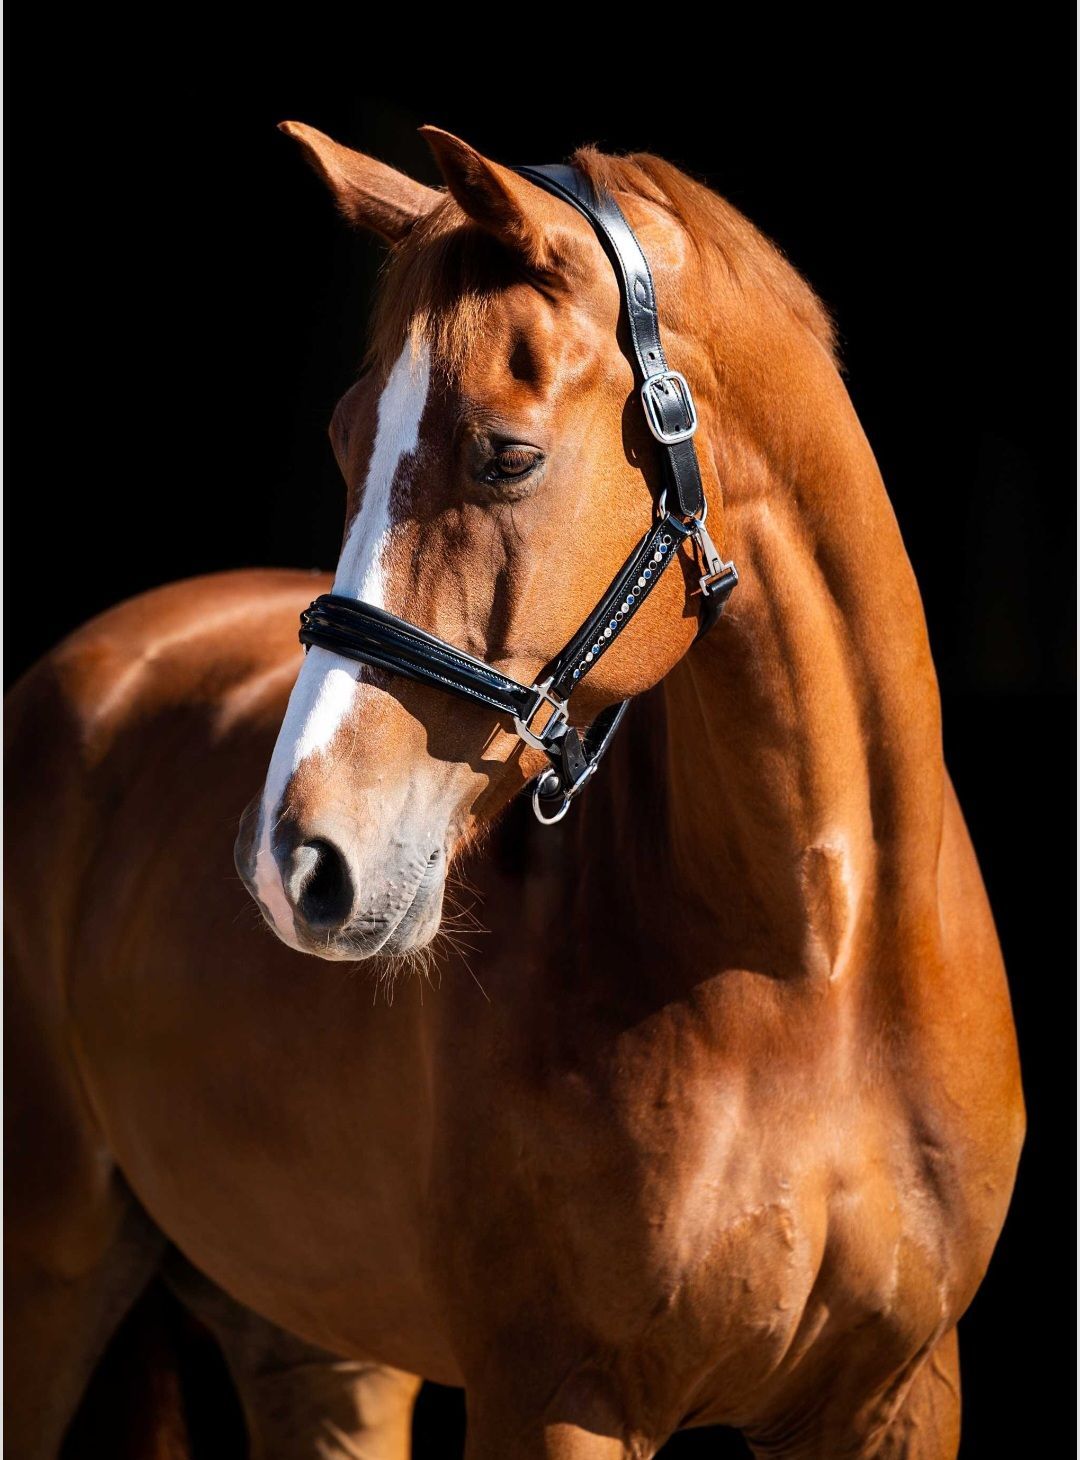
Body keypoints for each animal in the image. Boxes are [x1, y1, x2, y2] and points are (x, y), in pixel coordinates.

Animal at [4, 121, 1025, 1460]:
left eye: (507, 453)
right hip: (47, 1278)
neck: (820, 970)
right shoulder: (558, 1397)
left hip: (318, 1348)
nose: (294, 863)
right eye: (344, 443)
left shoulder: (899, 1398)